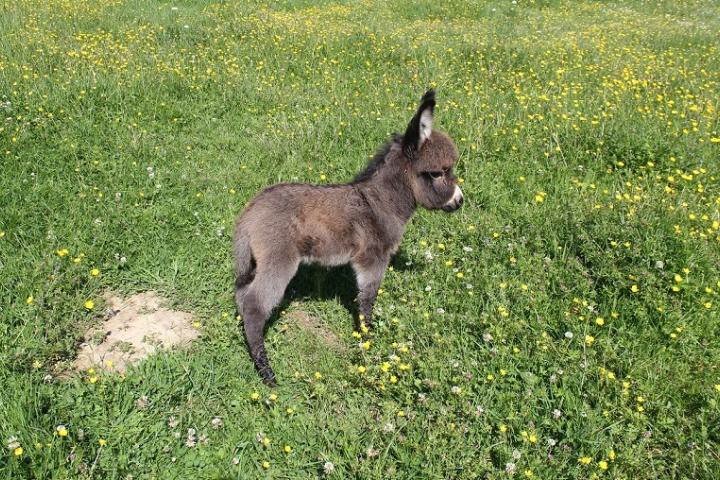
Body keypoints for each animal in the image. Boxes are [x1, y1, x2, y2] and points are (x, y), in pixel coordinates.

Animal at [233, 88, 464, 384]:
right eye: (437, 173)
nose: (459, 201)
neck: (380, 203)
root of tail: (250, 212)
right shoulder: (373, 259)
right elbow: (367, 299)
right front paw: (367, 340)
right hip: (279, 261)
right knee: (254, 305)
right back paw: (267, 373)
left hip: (254, 263)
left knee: (241, 296)